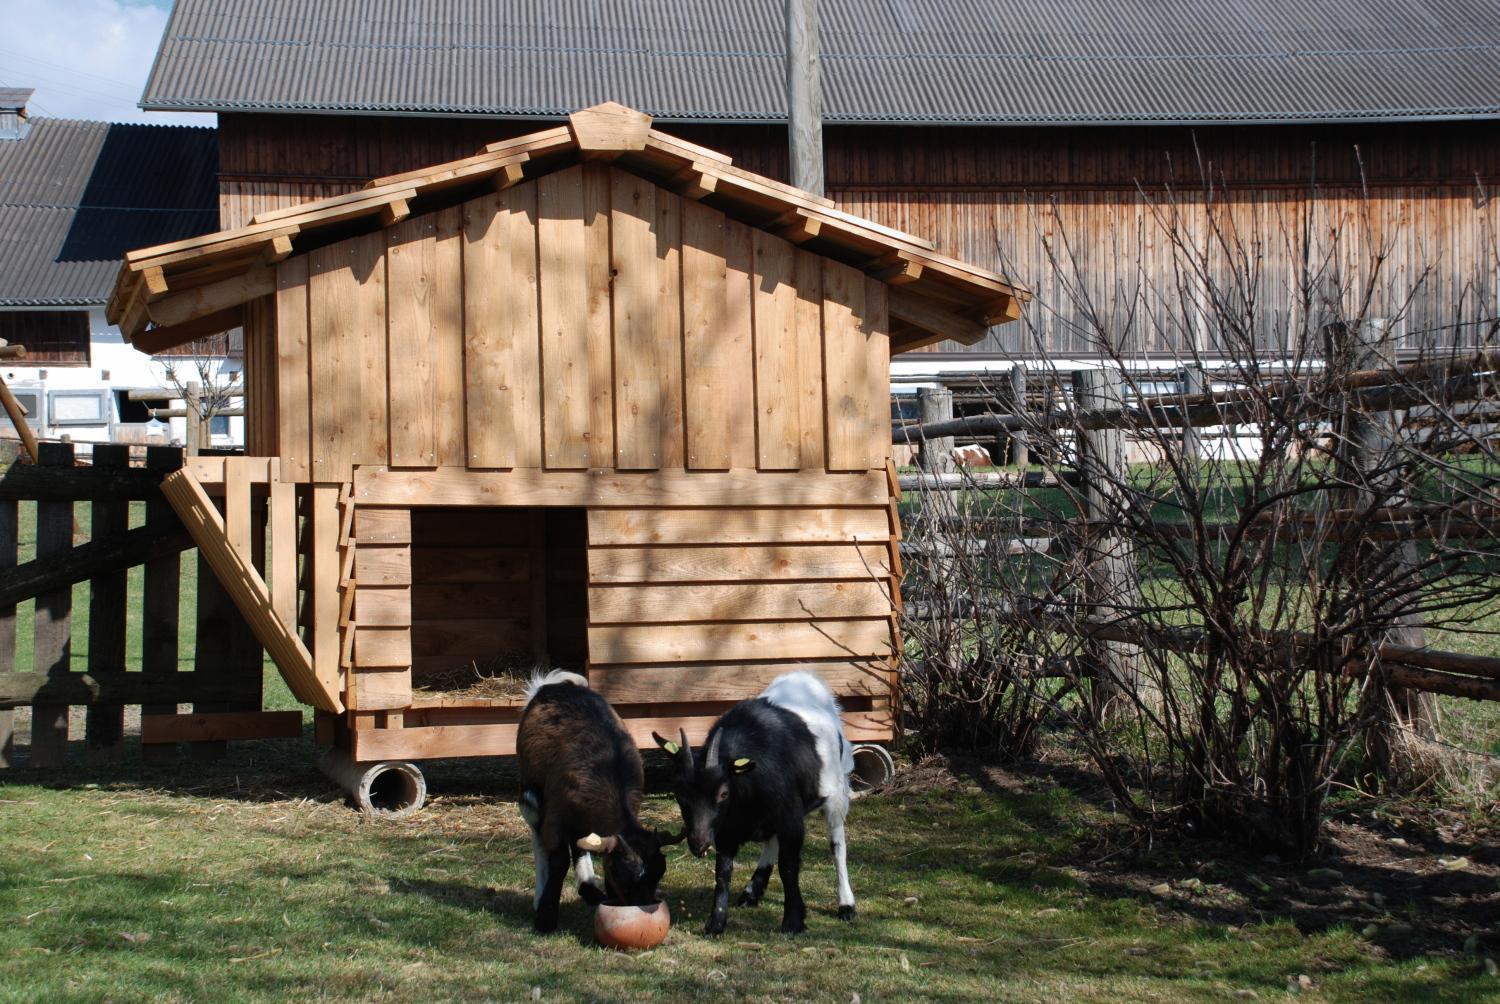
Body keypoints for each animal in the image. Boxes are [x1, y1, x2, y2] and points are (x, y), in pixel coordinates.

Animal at [516, 669, 681, 930]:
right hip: (530, 794)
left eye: (659, 874)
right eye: (622, 874)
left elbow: (582, 845)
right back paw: (541, 895)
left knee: (579, 842)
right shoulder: (555, 814)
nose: (642, 908)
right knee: (538, 836)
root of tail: (552, 685)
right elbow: (558, 860)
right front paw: (545, 917)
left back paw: (590, 890)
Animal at [657, 669, 858, 936]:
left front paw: (792, 921)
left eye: (723, 793)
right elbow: (723, 872)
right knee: (771, 841)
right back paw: (752, 891)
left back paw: (846, 905)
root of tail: (806, 677)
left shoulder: (791, 819)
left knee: (837, 845)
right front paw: (715, 923)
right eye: (680, 794)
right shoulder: (727, 829)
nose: (698, 844)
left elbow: (788, 866)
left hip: (835, 793)